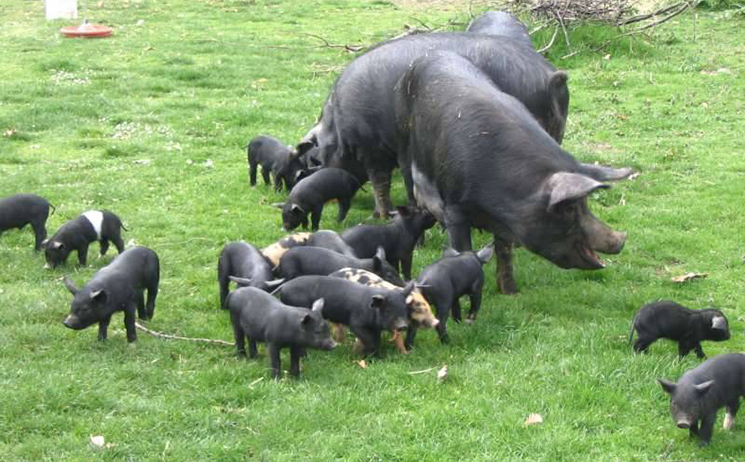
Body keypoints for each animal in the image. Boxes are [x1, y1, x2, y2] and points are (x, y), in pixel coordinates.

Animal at [273, 275, 413, 357]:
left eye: (405, 309)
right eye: (388, 311)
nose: (403, 326)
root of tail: (284, 285)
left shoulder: (375, 328)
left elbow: (376, 341)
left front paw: (377, 357)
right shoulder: (356, 323)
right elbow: (368, 339)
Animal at [299, 31, 570, 218]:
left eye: (316, 160)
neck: (338, 127)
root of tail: (550, 77)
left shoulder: (371, 149)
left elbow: (380, 183)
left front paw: (380, 215)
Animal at [394, 51, 631, 294]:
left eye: (585, 204)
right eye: (569, 208)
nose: (621, 239)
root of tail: (431, 55)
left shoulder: (505, 219)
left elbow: (504, 250)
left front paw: (510, 292)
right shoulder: (454, 208)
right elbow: (462, 249)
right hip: (404, 142)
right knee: (412, 193)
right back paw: (420, 242)